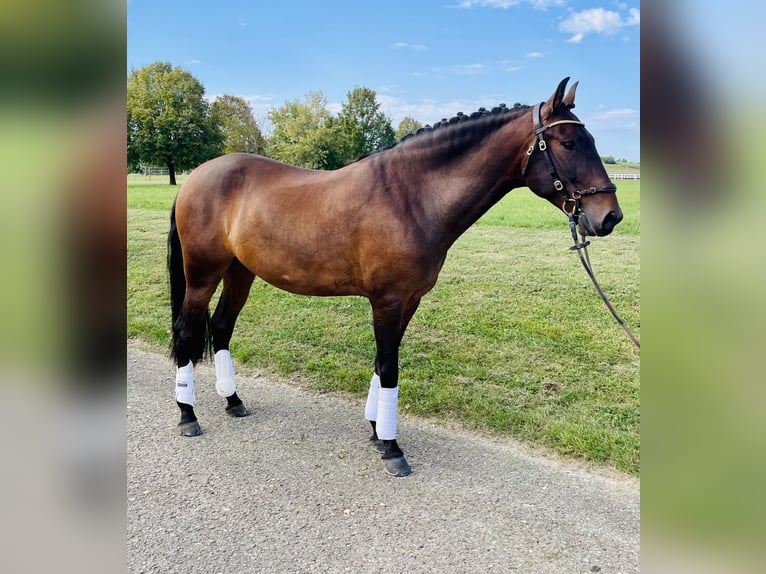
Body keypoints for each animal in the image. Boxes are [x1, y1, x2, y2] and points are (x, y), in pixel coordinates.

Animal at [168, 79, 624, 480]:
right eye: (569, 143)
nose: (610, 217)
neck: (410, 197)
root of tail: (196, 176)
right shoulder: (386, 300)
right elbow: (389, 366)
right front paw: (391, 448)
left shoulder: (409, 300)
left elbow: (380, 362)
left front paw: (375, 431)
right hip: (203, 275)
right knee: (189, 332)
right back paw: (188, 415)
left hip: (240, 272)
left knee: (220, 328)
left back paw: (233, 401)